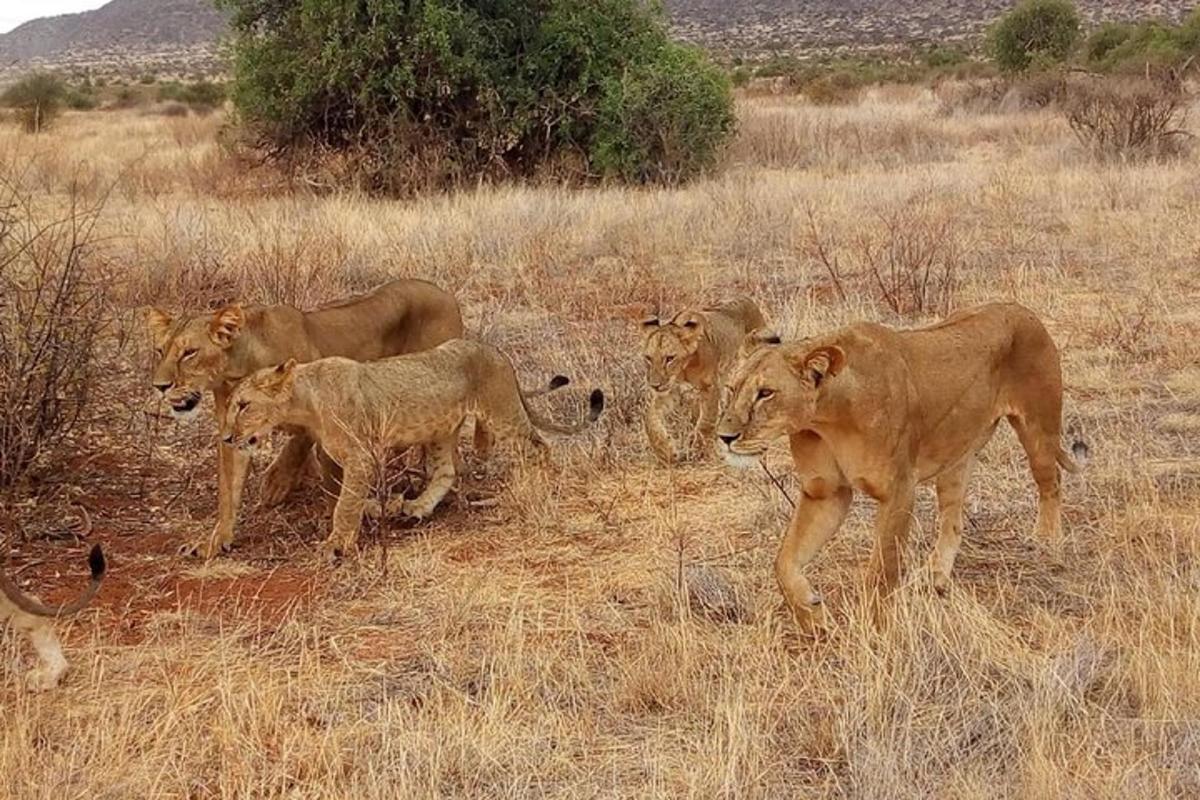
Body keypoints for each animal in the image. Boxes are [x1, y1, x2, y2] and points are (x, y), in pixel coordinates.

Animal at [147, 278, 465, 561]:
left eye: (189, 353)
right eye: (160, 351)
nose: (160, 386)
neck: (237, 369)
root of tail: (446, 294)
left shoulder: (319, 406)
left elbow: (301, 449)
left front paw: (276, 484)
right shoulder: (234, 430)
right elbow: (229, 492)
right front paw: (215, 542)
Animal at [220, 340, 604, 561]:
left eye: (243, 405)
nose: (225, 437)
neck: (305, 402)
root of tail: (497, 352)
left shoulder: (362, 456)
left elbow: (345, 505)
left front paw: (336, 545)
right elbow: (345, 498)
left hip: (501, 413)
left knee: (540, 447)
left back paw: (536, 489)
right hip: (439, 431)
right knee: (447, 471)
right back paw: (416, 508)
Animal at [643, 297, 763, 462]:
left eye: (669, 358)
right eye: (648, 358)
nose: (654, 385)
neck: (682, 370)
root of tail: (748, 299)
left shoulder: (709, 387)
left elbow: (705, 422)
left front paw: (697, 450)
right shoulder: (669, 391)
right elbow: (650, 420)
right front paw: (667, 452)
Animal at [710, 303, 1089, 628]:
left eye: (766, 393)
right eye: (730, 388)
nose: (724, 436)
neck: (826, 419)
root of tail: (1022, 309)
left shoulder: (898, 490)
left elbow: (881, 570)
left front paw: (873, 630)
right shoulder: (826, 492)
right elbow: (784, 562)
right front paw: (813, 615)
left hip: (1038, 430)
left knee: (1051, 482)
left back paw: (1047, 544)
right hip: (956, 458)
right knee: (953, 521)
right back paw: (936, 578)